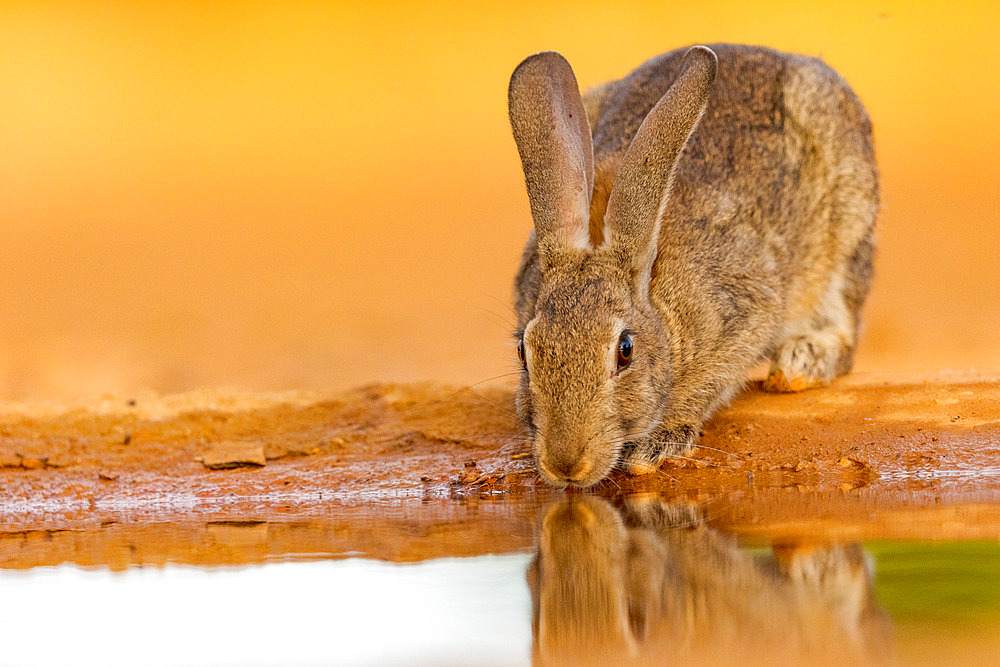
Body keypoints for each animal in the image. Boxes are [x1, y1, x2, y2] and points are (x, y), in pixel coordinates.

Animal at [508, 44, 876, 488]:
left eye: (625, 351)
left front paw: (655, 447)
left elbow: (709, 383)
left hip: (849, 224)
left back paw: (798, 364)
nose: (565, 466)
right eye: (523, 351)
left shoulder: (743, 314)